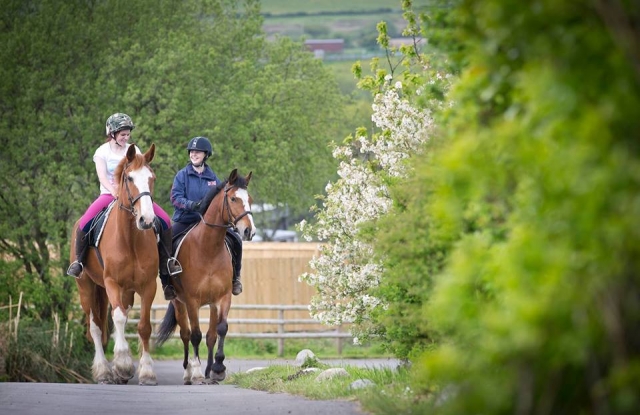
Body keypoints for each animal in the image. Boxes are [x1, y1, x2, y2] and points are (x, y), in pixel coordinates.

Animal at [72, 145, 160, 386]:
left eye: (152, 178)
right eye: (129, 178)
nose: (147, 220)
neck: (130, 238)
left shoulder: (148, 286)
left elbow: (144, 326)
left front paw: (147, 372)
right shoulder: (111, 283)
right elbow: (117, 318)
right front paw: (122, 364)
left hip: (126, 291)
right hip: (86, 287)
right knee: (95, 326)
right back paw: (103, 371)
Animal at [155, 169, 255, 386]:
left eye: (249, 199)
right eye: (233, 198)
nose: (248, 231)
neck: (208, 248)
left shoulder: (223, 298)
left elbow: (221, 329)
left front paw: (217, 368)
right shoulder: (192, 301)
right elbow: (195, 335)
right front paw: (198, 372)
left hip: (211, 304)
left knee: (210, 335)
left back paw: (210, 371)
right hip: (178, 302)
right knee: (185, 334)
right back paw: (188, 372)